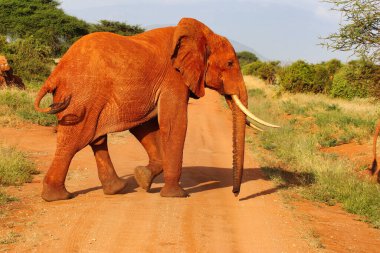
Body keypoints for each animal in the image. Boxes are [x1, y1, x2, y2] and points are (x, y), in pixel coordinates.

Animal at [35, 17, 280, 202]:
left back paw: (117, 189)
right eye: (230, 63)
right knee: (76, 140)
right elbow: (174, 124)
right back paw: (58, 197)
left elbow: (145, 126)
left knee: (96, 139)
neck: (200, 35)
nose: (236, 194)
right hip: (80, 98)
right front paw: (177, 195)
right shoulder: (173, 79)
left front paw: (143, 178)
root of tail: (55, 74)